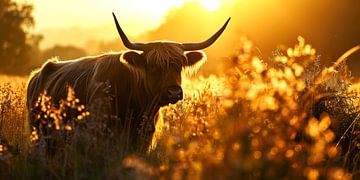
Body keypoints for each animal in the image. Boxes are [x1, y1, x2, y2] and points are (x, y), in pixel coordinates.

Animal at [27, 12, 231, 150]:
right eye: (152, 66)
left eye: (179, 65)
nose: (173, 92)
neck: (139, 107)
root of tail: (39, 72)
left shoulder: (144, 137)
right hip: (38, 133)